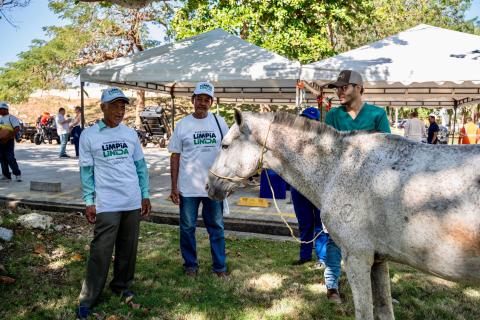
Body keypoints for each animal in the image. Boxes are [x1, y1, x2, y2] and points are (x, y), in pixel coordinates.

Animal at [206, 109, 480, 320]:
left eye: (225, 145)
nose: (209, 186)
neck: (339, 166)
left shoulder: (357, 257)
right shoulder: (378, 260)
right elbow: (384, 311)